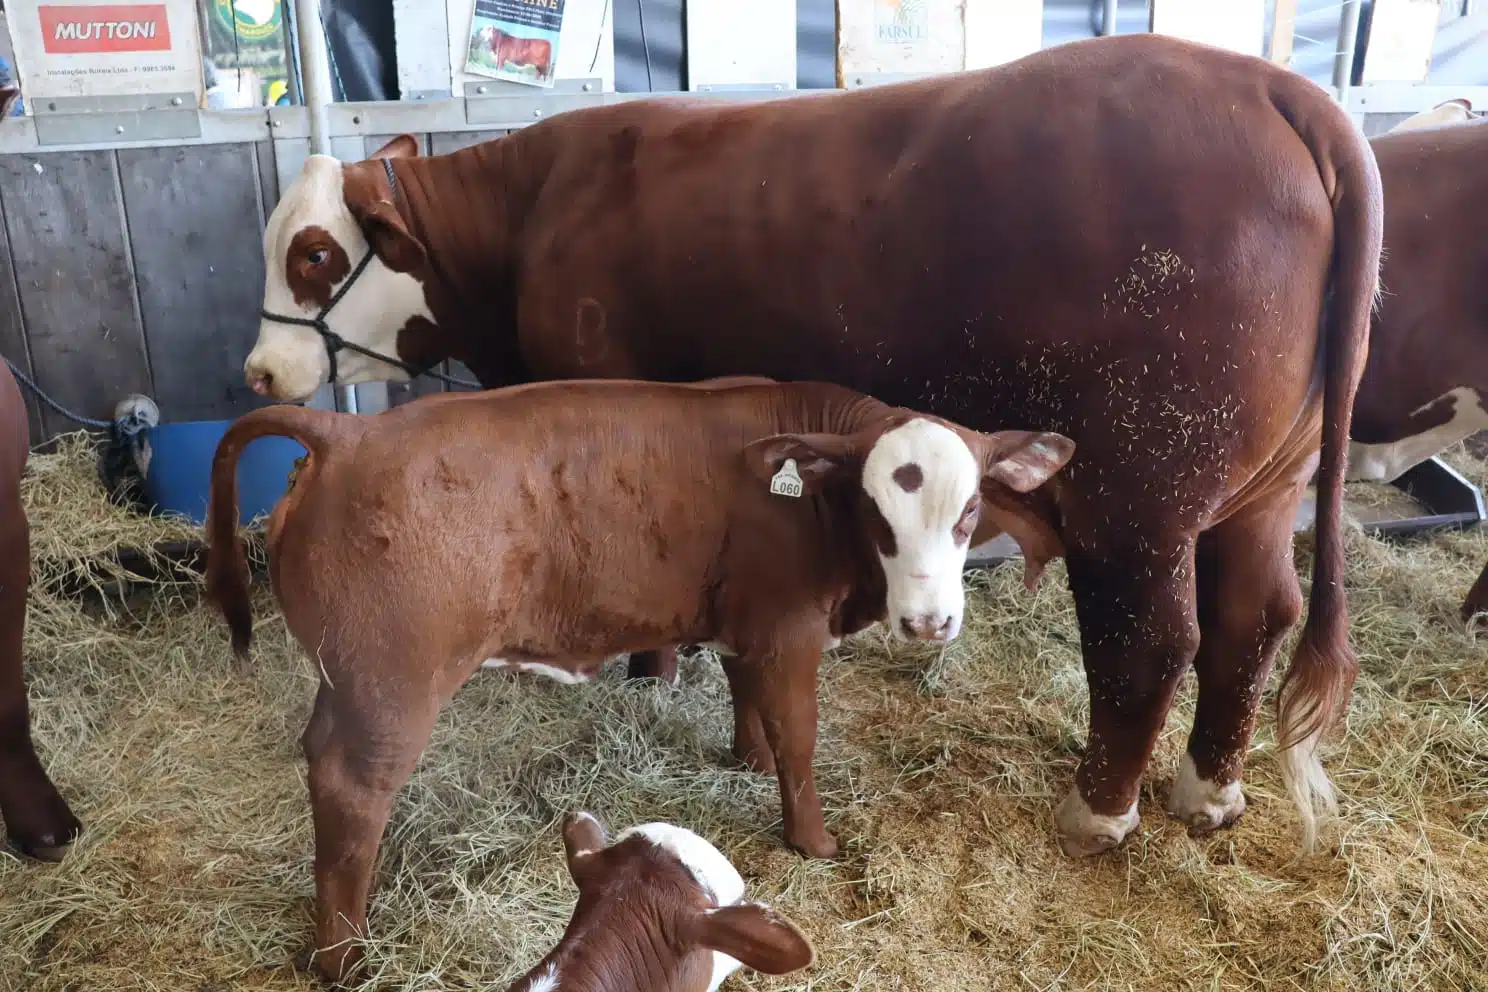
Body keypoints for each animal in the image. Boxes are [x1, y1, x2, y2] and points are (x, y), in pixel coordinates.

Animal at [243, 33, 1384, 865]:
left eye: (315, 254)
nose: (257, 370)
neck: (537, 211)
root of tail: (1276, 87)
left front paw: (650, 672)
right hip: (1259, 490)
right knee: (1255, 616)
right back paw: (1209, 790)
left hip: (1138, 495)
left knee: (1151, 640)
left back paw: (1100, 810)